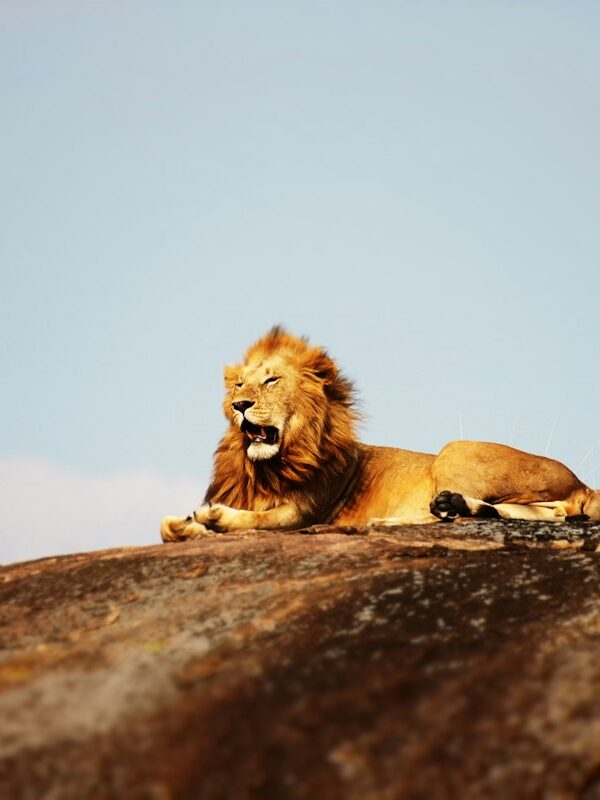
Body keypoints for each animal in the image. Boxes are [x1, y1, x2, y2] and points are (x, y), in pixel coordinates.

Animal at [161, 326, 600, 541]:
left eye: (271, 380)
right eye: (238, 385)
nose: (240, 405)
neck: (267, 467)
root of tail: (583, 484)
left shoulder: (303, 513)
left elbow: (256, 520)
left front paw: (213, 517)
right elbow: (166, 528)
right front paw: (187, 524)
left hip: (454, 450)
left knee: (554, 512)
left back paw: (407, 517)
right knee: (544, 513)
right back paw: (436, 510)